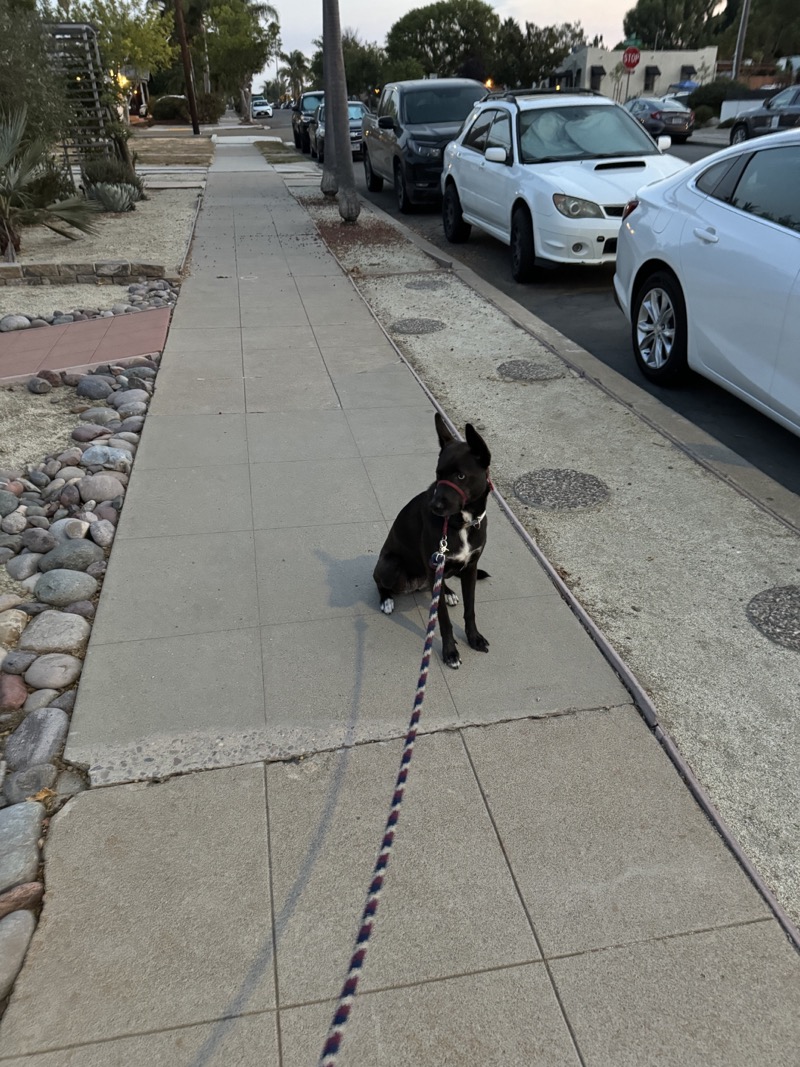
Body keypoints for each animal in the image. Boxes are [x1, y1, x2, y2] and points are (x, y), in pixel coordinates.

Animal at [373, 413, 492, 665]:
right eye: (438, 474)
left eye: (460, 475)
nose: (434, 507)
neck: (461, 523)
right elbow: (444, 621)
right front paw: (450, 652)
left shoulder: (470, 567)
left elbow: (470, 610)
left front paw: (474, 638)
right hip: (390, 565)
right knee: (380, 581)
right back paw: (386, 600)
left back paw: (447, 592)